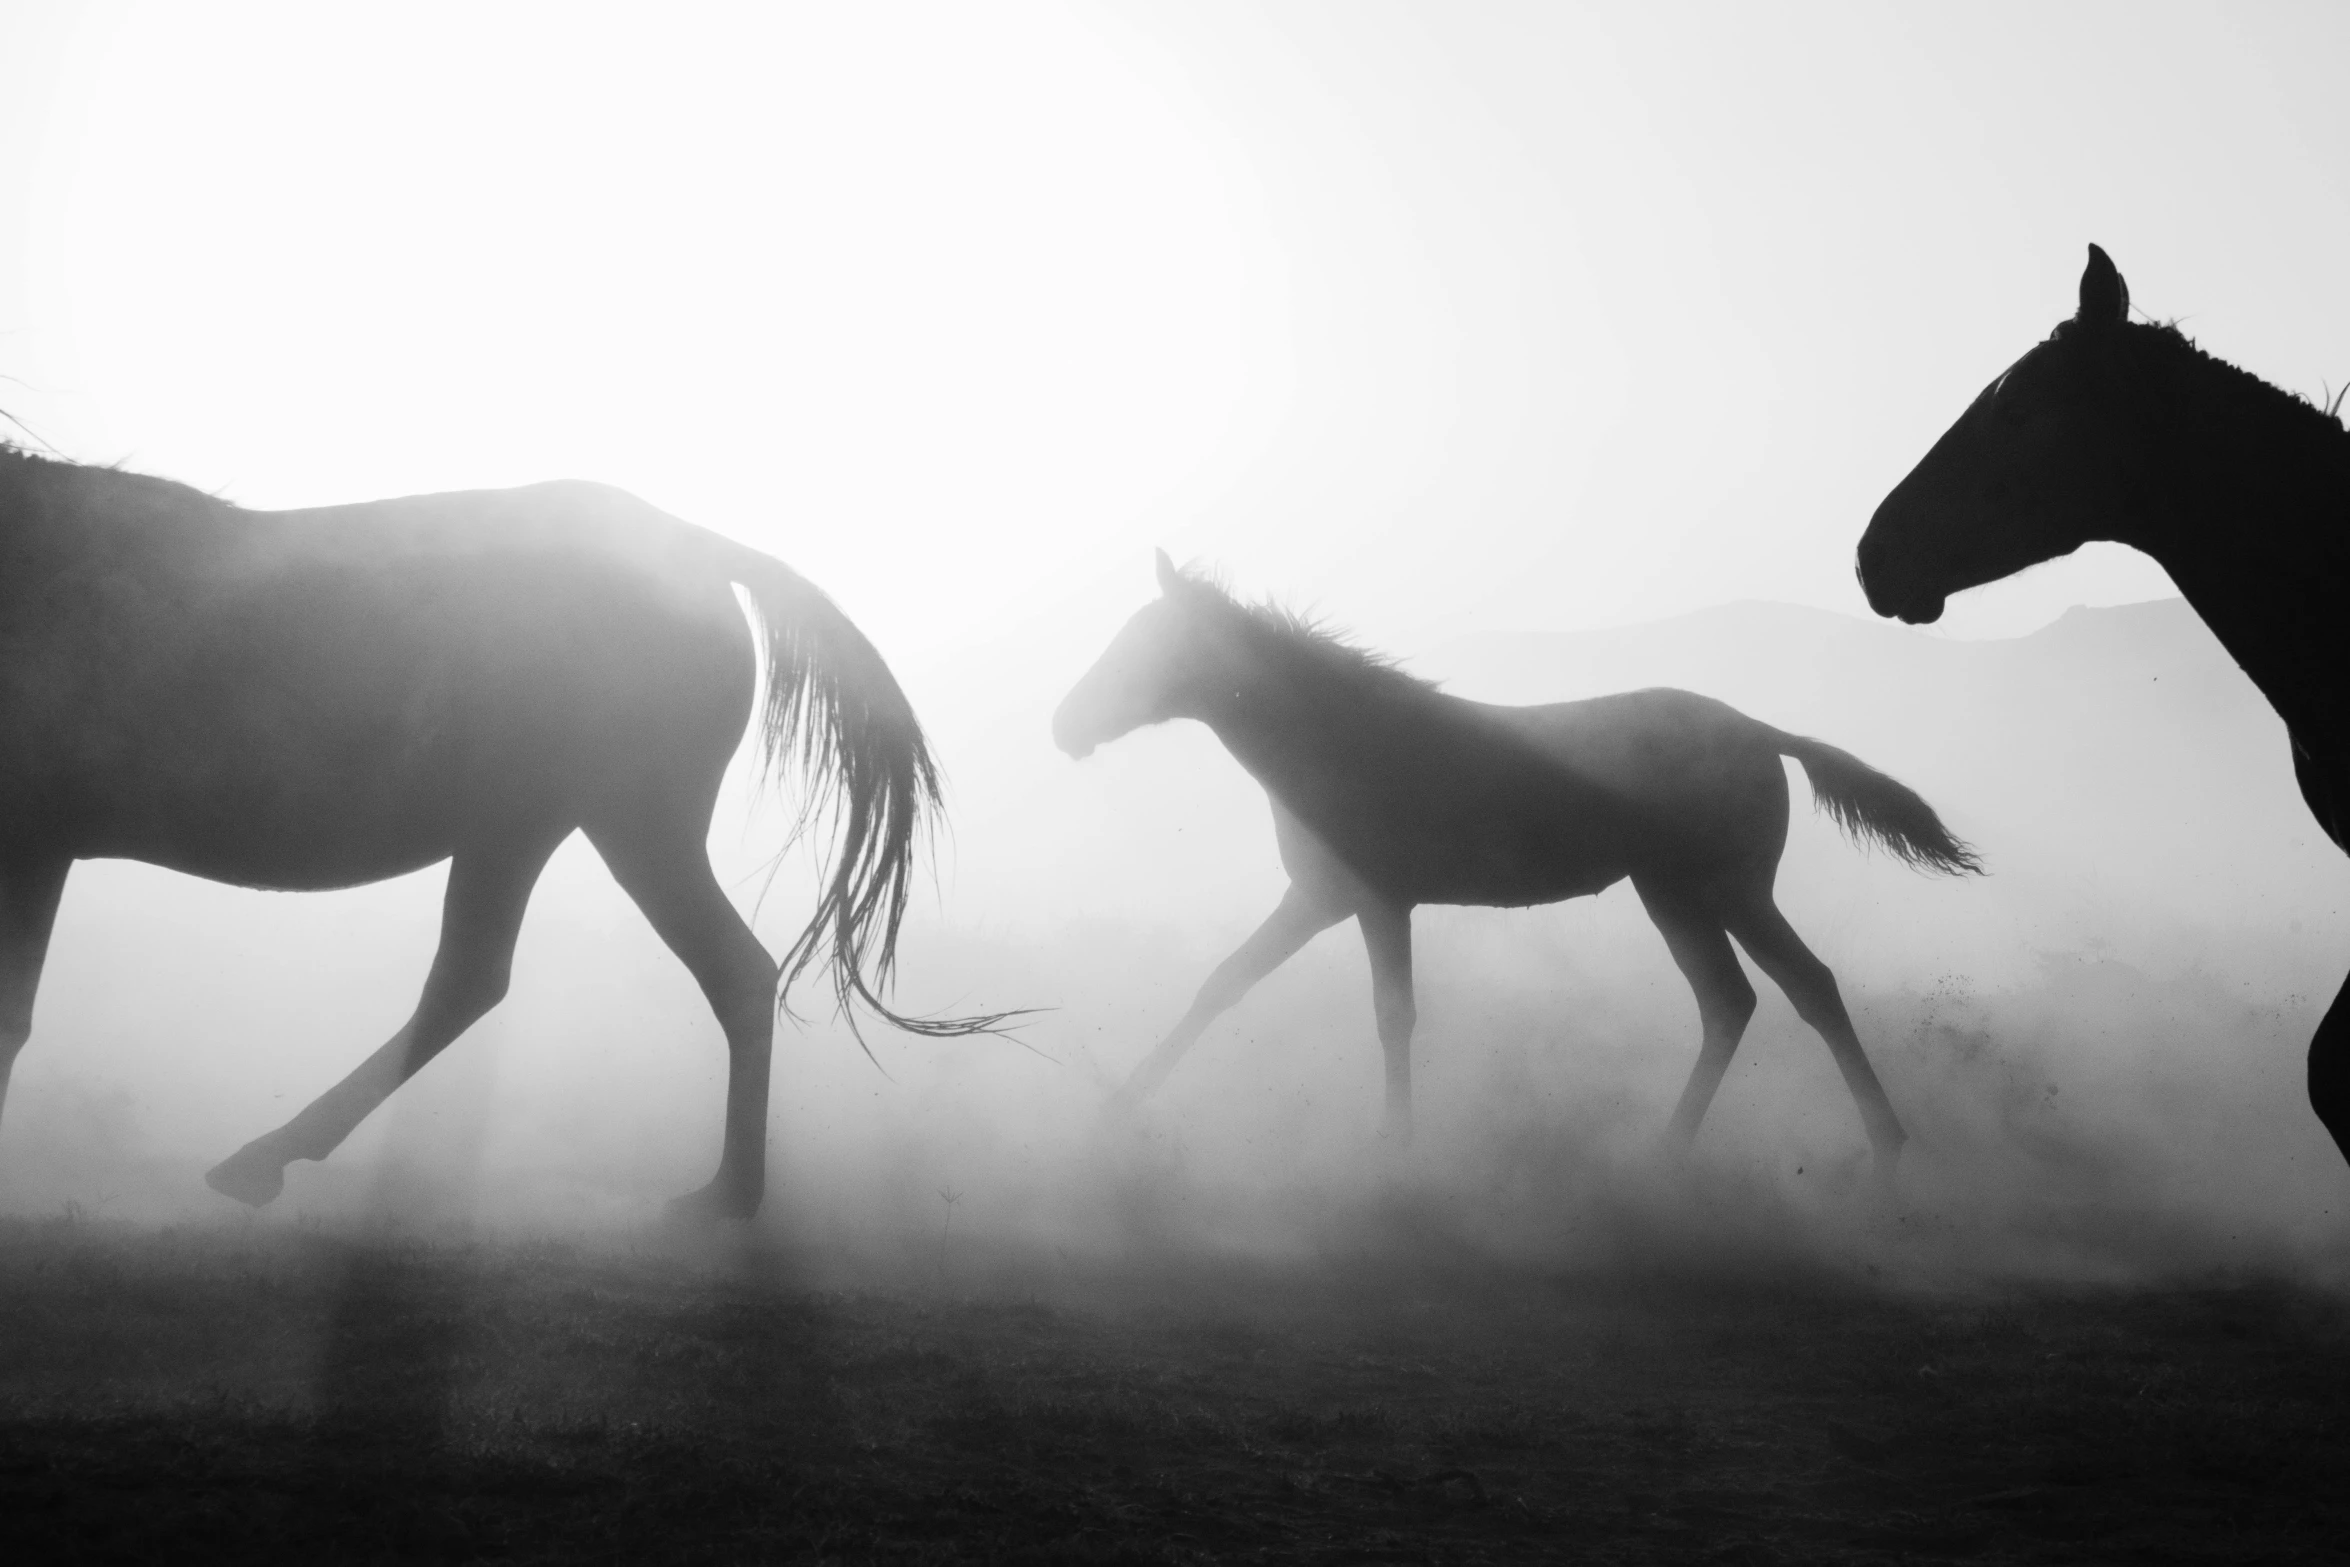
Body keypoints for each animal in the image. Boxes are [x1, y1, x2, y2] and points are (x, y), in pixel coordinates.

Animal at [0, 444, 982, 1221]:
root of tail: (688, 544)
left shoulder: (33, 837)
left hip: (592, 818)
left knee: (541, 977)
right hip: (559, 824)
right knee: (546, 978)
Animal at [1052, 554, 1983, 1165]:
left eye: (1147, 645)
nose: (1064, 725)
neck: (1342, 738)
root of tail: (1760, 731)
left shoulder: (1376, 900)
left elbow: (1393, 1015)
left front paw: (1394, 1150)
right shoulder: (1318, 900)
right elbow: (1223, 983)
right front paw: (1116, 1109)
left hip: (1727, 890)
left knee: (1806, 988)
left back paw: (1883, 1144)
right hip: (1674, 895)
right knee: (1732, 1002)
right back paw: (1668, 1153)